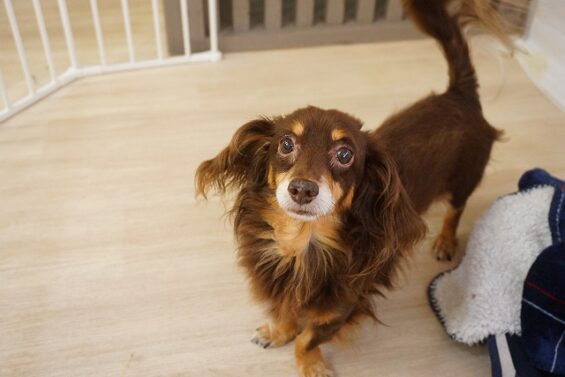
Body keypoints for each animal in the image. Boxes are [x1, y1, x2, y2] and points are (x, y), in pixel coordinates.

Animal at [195, 0, 506, 376]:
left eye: (345, 155)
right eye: (286, 144)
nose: (302, 189)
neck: (303, 244)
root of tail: (459, 95)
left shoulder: (341, 308)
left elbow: (306, 338)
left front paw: (312, 365)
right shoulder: (282, 288)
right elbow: (286, 314)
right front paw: (276, 333)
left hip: (462, 181)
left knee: (455, 210)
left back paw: (446, 240)